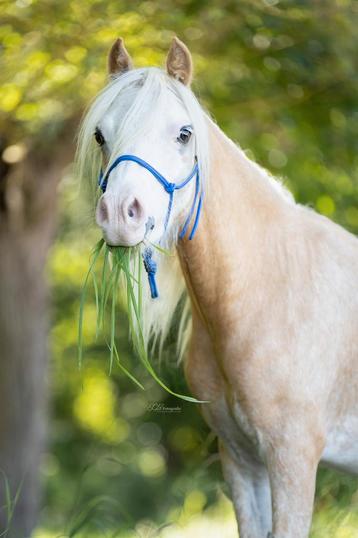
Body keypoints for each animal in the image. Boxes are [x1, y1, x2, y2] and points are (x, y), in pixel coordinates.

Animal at [76, 37, 358, 536]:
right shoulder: (242, 462)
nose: (119, 215)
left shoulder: (293, 461)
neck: (270, 293)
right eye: (100, 136)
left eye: (184, 134)